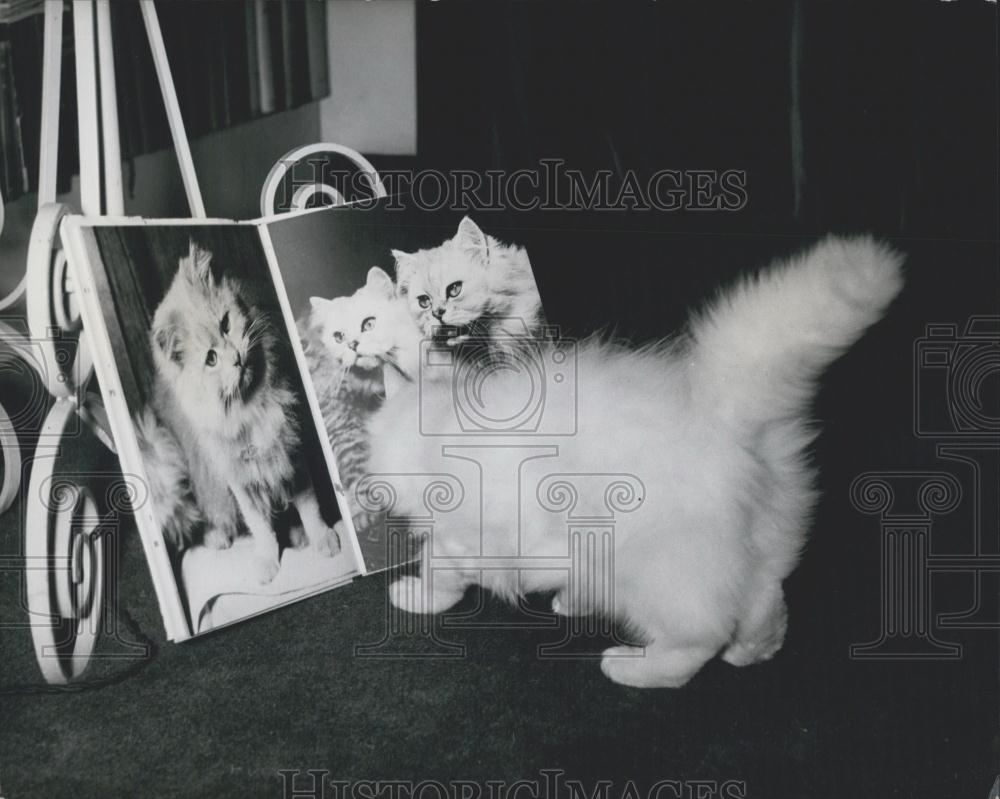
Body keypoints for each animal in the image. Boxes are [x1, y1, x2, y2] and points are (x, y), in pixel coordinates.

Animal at [137, 241, 340, 584]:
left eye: (226, 324)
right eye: (210, 359)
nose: (235, 358)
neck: (251, 407)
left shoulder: (290, 452)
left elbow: (308, 506)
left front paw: (320, 538)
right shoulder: (239, 476)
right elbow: (261, 528)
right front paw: (268, 563)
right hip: (198, 471)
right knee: (209, 511)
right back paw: (218, 537)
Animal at [368, 236, 908, 688]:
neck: (438, 417)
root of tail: (722, 418)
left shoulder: (458, 535)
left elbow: (439, 574)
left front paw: (414, 596)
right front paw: (570, 600)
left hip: (647, 572)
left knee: (699, 640)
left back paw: (632, 668)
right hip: (748, 550)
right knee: (762, 599)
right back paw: (754, 650)